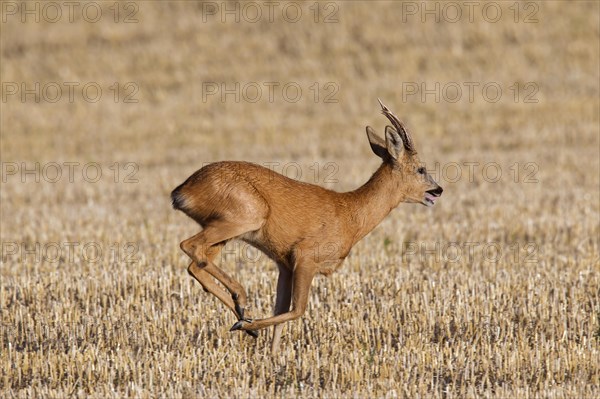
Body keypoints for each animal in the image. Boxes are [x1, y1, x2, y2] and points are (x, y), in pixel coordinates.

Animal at [171, 100, 442, 354]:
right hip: (246, 217)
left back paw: (243, 314)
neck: (351, 214)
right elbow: (298, 309)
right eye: (420, 168)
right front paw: (248, 327)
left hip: (225, 229)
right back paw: (242, 304)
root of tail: (182, 191)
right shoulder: (305, 256)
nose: (438, 190)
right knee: (189, 246)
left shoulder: (284, 263)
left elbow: (281, 311)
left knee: (195, 264)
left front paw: (271, 354)